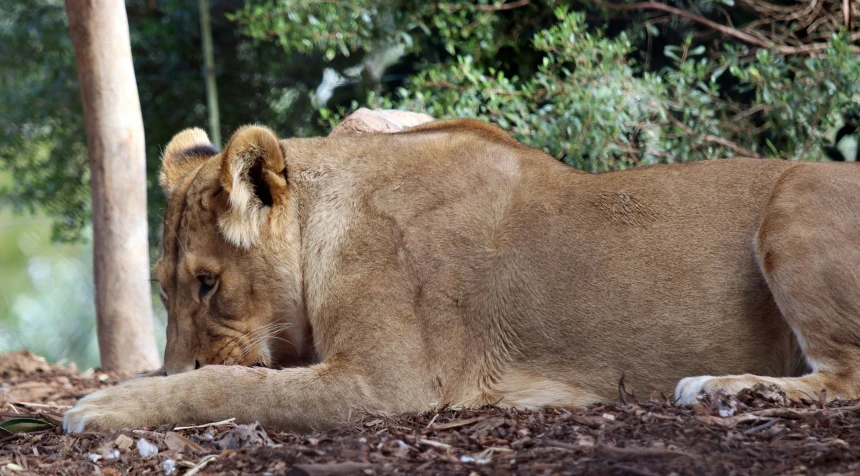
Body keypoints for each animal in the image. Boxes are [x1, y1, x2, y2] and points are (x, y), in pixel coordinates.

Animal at [63, 109, 860, 436]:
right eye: (163, 289)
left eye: (208, 283)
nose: (172, 363)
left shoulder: (388, 387)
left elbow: (229, 384)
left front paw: (103, 406)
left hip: (793, 201)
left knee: (845, 376)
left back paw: (718, 387)